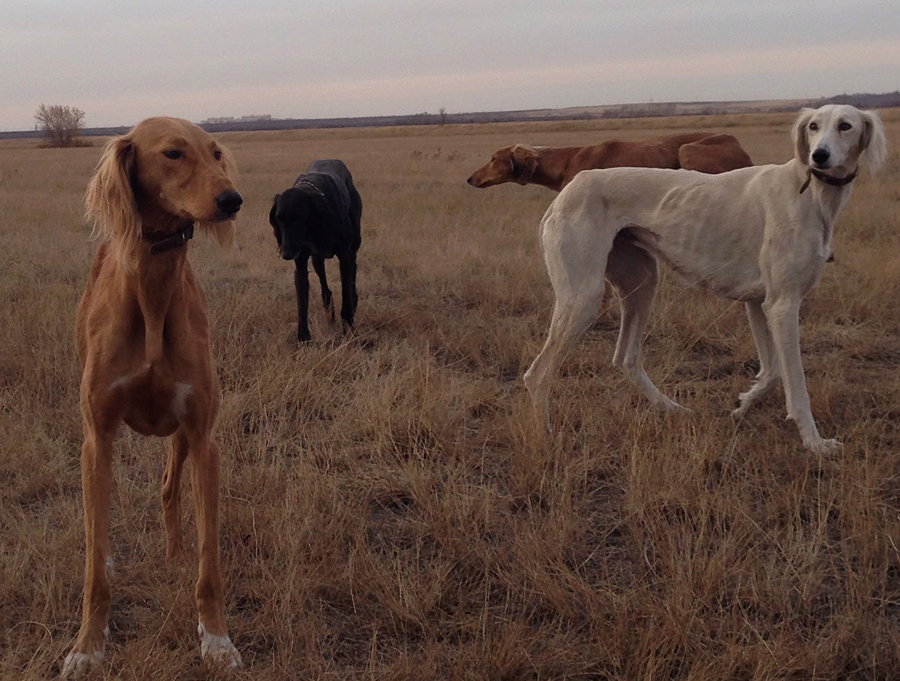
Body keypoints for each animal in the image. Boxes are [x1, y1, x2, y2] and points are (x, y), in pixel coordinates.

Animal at [61, 117, 244, 676]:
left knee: (167, 486)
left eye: (215, 153)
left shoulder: (204, 438)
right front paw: (87, 646)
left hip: (180, 435)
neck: (153, 295)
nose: (232, 199)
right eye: (173, 153)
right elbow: (93, 567)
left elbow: (210, 563)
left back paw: (175, 554)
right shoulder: (97, 436)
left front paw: (217, 640)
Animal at [268, 158, 360, 340]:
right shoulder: (301, 263)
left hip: (354, 244)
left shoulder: (344, 256)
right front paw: (303, 337)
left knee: (353, 271)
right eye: (279, 218)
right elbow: (302, 304)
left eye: (300, 217)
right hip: (317, 259)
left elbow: (346, 293)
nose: (286, 254)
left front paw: (348, 328)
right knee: (325, 286)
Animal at [524, 105, 888, 452]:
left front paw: (743, 404)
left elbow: (771, 372)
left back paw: (672, 408)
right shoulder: (783, 305)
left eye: (845, 126)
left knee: (626, 358)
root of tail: (570, 188)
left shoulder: (759, 303)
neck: (810, 191)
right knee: (537, 374)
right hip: (583, 297)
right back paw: (546, 437)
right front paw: (815, 443)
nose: (819, 156)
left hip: (641, 283)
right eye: (813, 126)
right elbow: (795, 384)